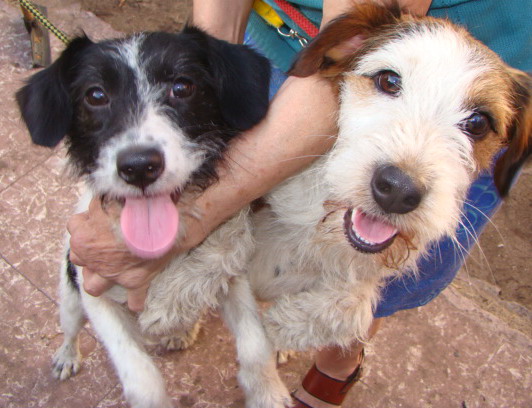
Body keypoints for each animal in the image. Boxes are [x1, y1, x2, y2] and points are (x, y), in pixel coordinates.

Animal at [16, 27, 288, 406]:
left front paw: (268, 393)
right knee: (70, 329)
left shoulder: (233, 279)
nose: (139, 166)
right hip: (68, 295)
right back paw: (67, 356)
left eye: (183, 86)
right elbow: (141, 377)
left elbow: (255, 347)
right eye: (95, 95)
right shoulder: (96, 293)